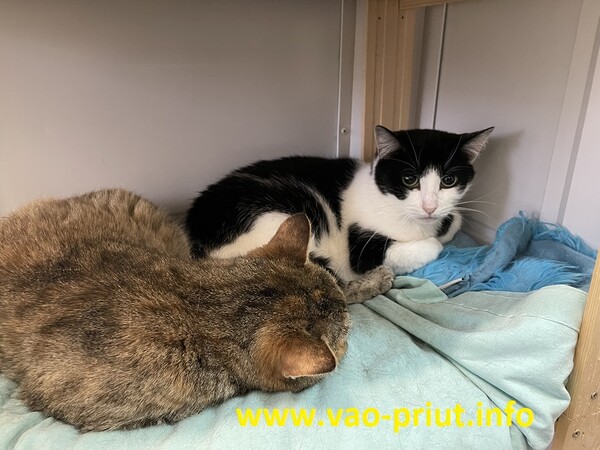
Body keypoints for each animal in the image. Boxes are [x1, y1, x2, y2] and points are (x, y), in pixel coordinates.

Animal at [185, 125, 493, 289]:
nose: (430, 207)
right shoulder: (361, 248)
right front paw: (432, 241)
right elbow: (430, 245)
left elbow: (454, 219)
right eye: (410, 179)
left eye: (448, 180)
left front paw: (446, 223)